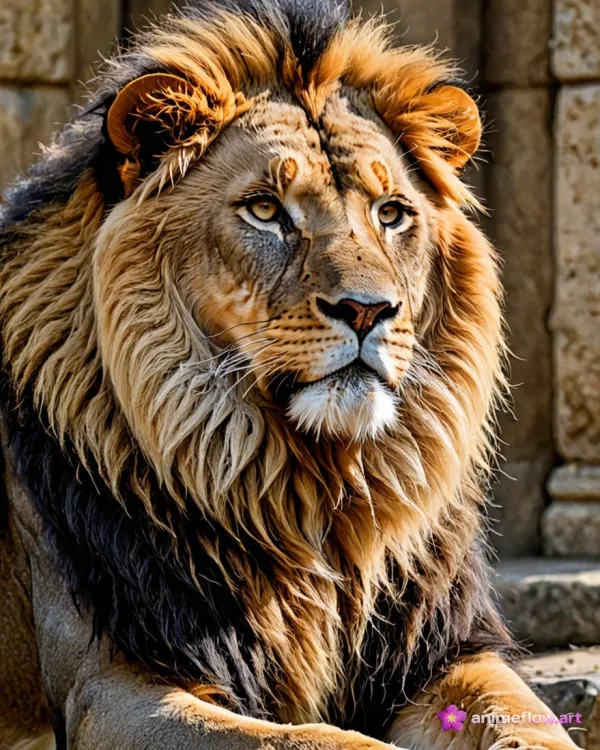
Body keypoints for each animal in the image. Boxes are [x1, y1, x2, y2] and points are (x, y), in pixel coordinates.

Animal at [0, 0, 577, 748]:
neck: (309, 496)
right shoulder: (109, 688)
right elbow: (317, 738)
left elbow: (531, 724)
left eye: (391, 214)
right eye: (266, 209)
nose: (368, 310)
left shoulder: (444, 653)